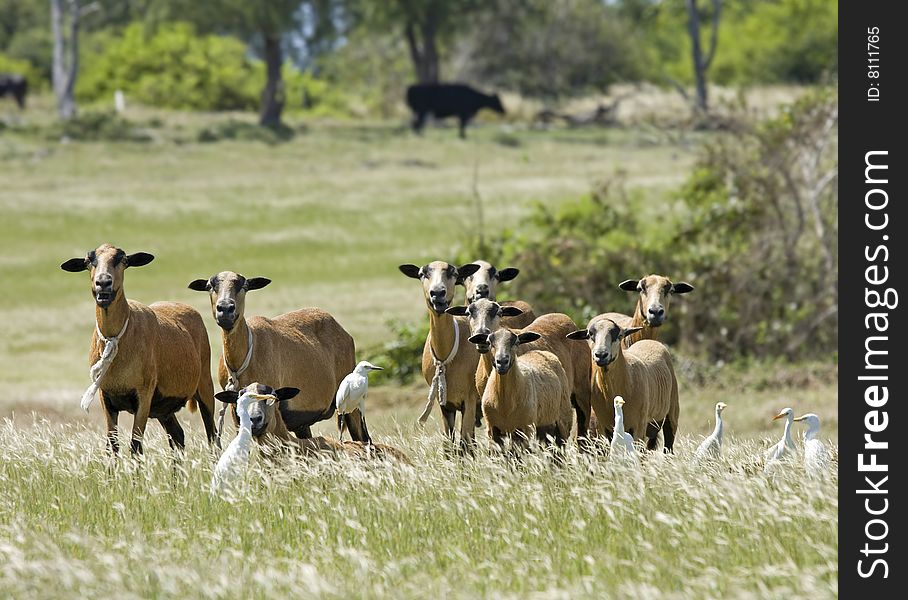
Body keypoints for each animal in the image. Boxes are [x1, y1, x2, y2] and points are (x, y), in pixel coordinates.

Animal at [61, 244, 217, 454]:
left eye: (123, 260)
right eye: (88, 261)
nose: (103, 283)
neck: (116, 339)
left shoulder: (144, 394)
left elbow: (135, 446)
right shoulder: (106, 397)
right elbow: (112, 445)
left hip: (205, 384)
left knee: (213, 436)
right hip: (163, 406)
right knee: (177, 436)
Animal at [188, 270, 358, 446]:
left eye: (244, 286)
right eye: (210, 286)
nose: (226, 309)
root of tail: (343, 331)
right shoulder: (235, 408)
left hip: (350, 400)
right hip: (302, 420)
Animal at [398, 260, 482, 452]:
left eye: (454, 273)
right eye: (422, 274)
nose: (437, 293)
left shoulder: (470, 399)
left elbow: (465, 443)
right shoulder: (444, 402)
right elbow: (448, 445)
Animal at [568, 316, 680, 452]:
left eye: (618, 335)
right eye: (590, 334)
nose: (601, 355)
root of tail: (650, 341)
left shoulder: (638, 426)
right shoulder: (606, 427)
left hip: (672, 413)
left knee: (668, 448)